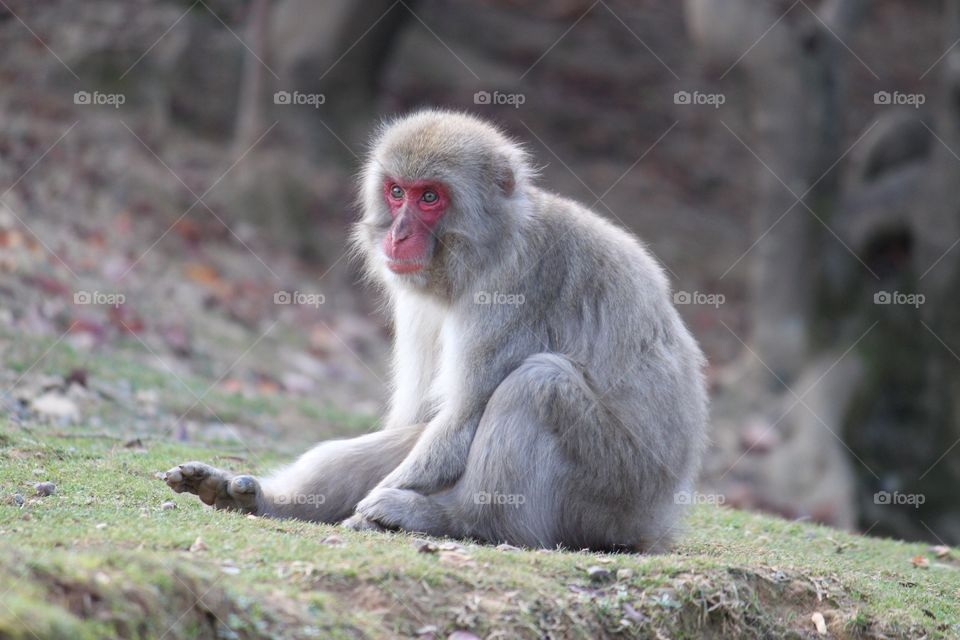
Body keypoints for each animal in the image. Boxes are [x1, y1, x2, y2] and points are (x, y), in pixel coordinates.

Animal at [163, 109, 708, 552]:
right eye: (396, 192)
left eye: (430, 197)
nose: (398, 234)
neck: (487, 246)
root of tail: (658, 520)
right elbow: (424, 418)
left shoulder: (515, 287)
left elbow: (464, 415)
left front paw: (372, 511)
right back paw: (269, 502)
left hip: (613, 491)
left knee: (539, 384)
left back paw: (462, 520)